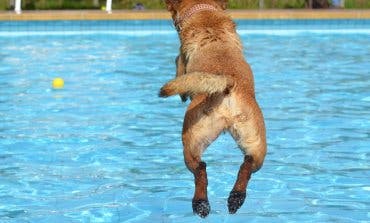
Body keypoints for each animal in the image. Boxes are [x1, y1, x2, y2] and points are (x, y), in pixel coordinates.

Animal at [159, 0, 266, 218]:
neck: (205, 13)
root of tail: (227, 84)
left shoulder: (181, 61)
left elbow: (177, 64)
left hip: (190, 140)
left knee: (200, 169)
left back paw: (201, 204)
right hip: (256, 143)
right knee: (247, 165)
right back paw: (235, 198)